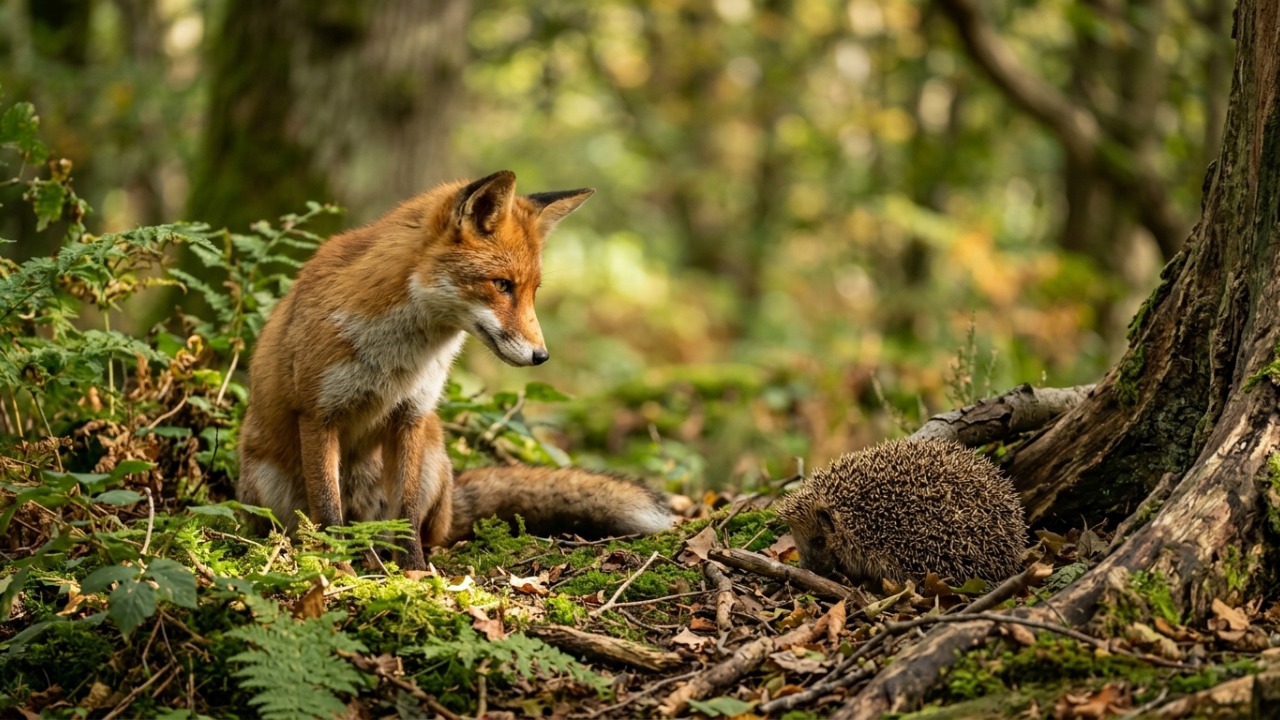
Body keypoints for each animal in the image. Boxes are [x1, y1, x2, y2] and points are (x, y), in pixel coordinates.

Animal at [236, 170, 672, 570]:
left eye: (533, 291)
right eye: (502, 285)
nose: (541, 356)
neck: (399, 356)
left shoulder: (410, 414)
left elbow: (407, 516)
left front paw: (413, 574)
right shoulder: (318, 414)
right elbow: (328, 513)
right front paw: (336, 570)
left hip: (432, 456)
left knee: (424, 532)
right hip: (269, 483)